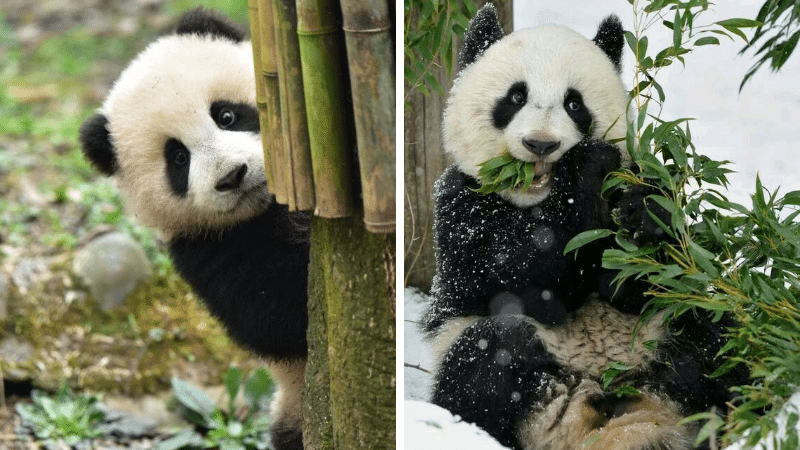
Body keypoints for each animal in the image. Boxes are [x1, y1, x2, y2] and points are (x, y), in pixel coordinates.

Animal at [79, 9, 307, 450]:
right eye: (178, 158)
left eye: (226, 115)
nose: (233, 176)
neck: (263, 208)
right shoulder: (206, 251)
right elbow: (275, 315)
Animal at [422, 5, 748, 450]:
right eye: (516, 97)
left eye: (574, 103)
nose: (541, 144)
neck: (535, 201)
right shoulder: (460, 208)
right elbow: (529, 278)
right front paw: (586, 170)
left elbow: (639, 283)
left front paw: (644, 214)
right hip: (495, 358)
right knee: (488, 357)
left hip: (664, 336)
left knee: (717, 345)